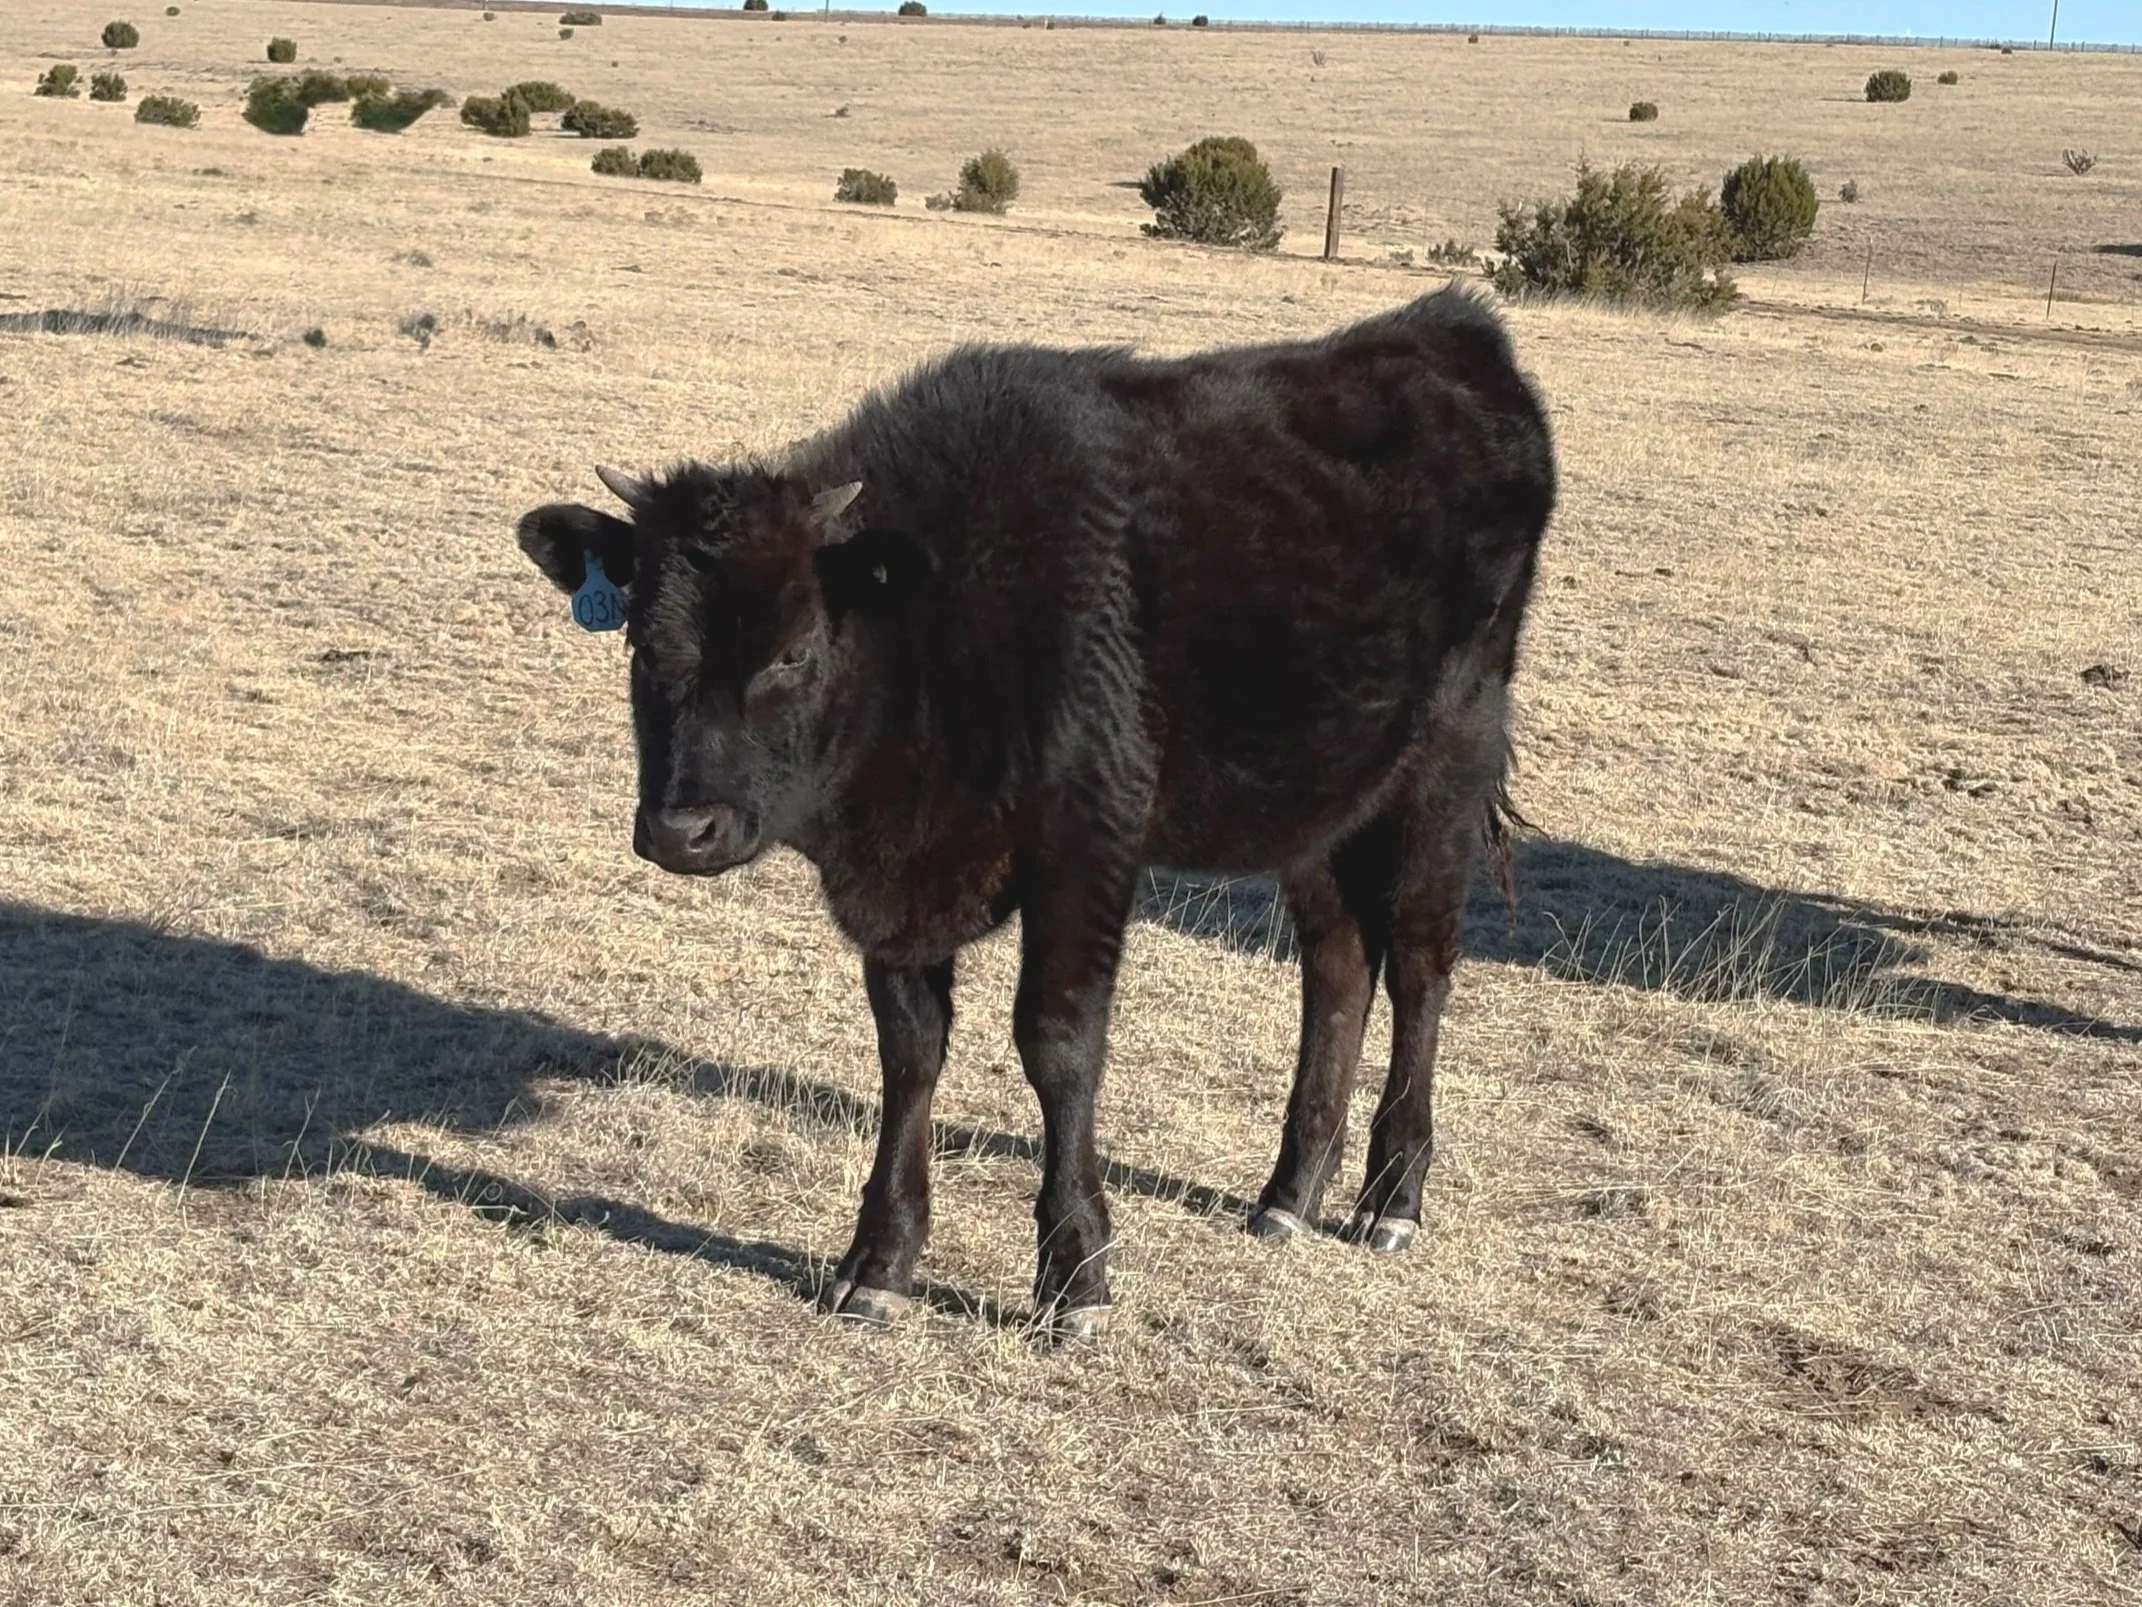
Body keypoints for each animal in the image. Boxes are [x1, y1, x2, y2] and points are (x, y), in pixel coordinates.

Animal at [516, 287, 1556, 1339]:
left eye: (795, 649)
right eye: (642, 641)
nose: (681, 830)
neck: (942, 616)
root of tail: (1451, 328)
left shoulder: (1087, 843)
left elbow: (1057, 1043)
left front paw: (1076, 1272)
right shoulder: (901, 890)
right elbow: (910, 1048)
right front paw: (878, 1260)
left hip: (1447, 767)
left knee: (1421, 965)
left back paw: (1392, 1198)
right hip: (1320, 803)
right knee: (1337, 967)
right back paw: (1289, 1193)